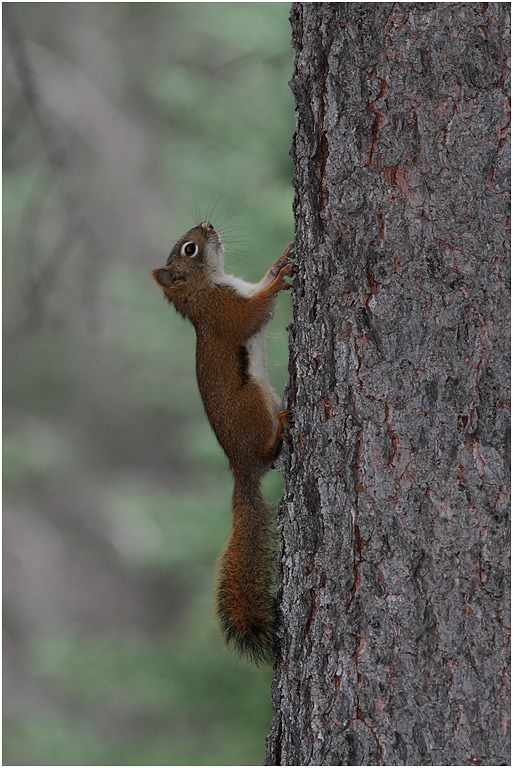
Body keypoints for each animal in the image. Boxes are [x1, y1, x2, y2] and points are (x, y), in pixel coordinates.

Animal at [151, 221, 293, 664]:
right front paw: (280, 281)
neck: (207, 287)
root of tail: (241, 467)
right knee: (268, 450)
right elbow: (254, 312)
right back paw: (281, 429)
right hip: (253, 403)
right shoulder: (227, 312)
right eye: (190, 249)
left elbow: (258, 287)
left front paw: (279, 263)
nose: (208, 225)